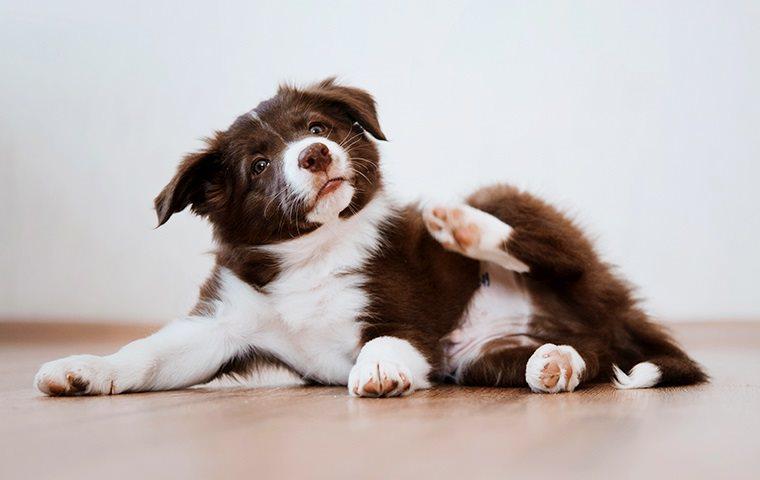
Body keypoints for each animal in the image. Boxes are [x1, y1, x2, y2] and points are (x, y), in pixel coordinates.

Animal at [31, 79, 708, 398]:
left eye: (319, 125)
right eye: (258, 165)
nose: (316, 153)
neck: (313, 254)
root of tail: (615, 312)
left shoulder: (402, 309)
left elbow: (386, 336)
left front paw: (379, 367)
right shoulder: (220, 324)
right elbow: (150, 354)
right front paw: (84, 369)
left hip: (523, 219)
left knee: (554, 254)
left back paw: (462, 225)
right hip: (482, 361)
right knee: (590, 355)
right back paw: (556, 361)